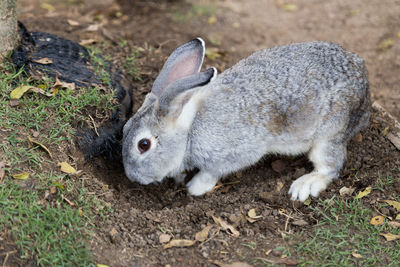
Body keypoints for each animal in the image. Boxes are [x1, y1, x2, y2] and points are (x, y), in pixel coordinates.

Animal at [121, 38, 368, 202]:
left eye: (144, 145)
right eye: (123, 129)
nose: (132, 177)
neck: (189, 131)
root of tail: (364, 82)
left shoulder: (233, 154)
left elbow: (212, 172)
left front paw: (195, 187)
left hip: (329, 133)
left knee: (330, 166)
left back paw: (304, 185)